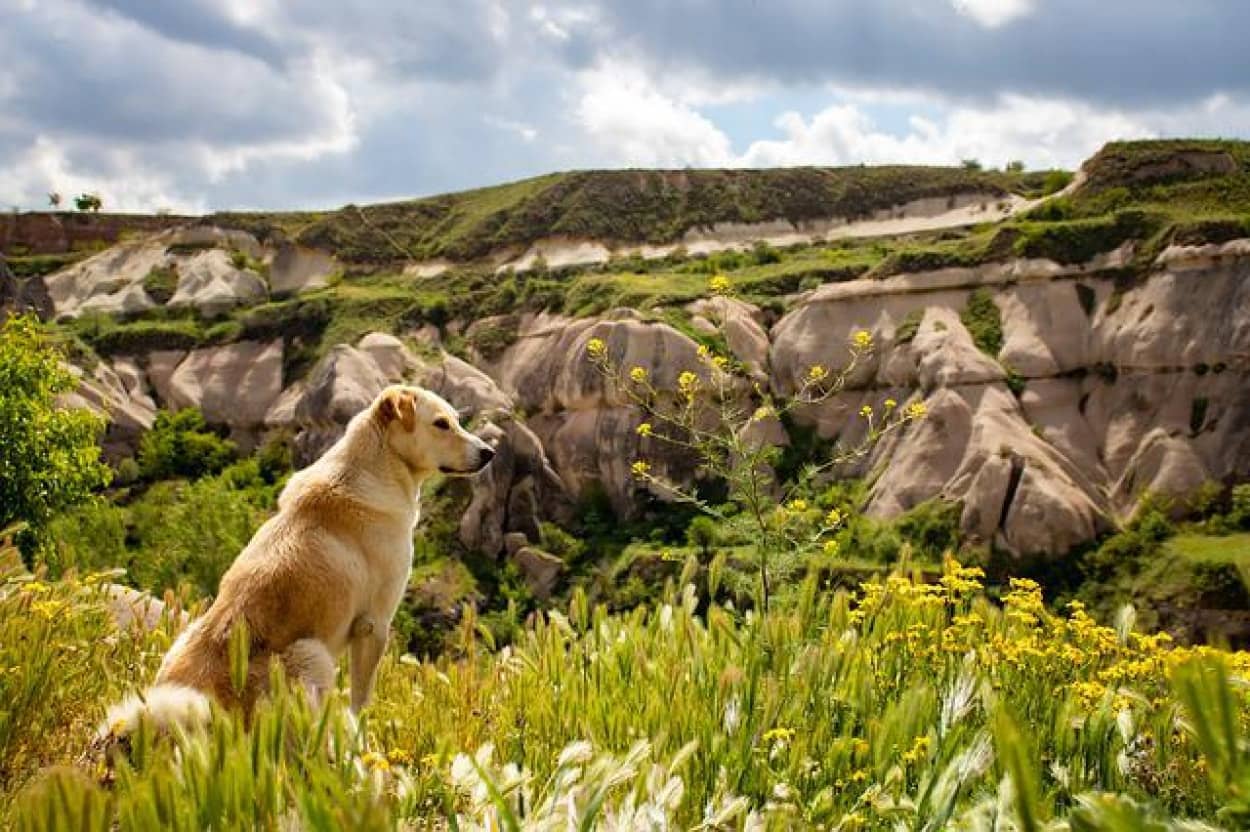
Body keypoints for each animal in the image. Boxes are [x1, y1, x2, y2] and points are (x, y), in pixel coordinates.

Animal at [98, 384, 497, 739]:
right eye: (441, 423)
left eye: (457, 420)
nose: (490, 452)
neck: (376, 466)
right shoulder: (374, 625)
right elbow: (361, 703)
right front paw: (363, 743)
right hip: (310, 654)